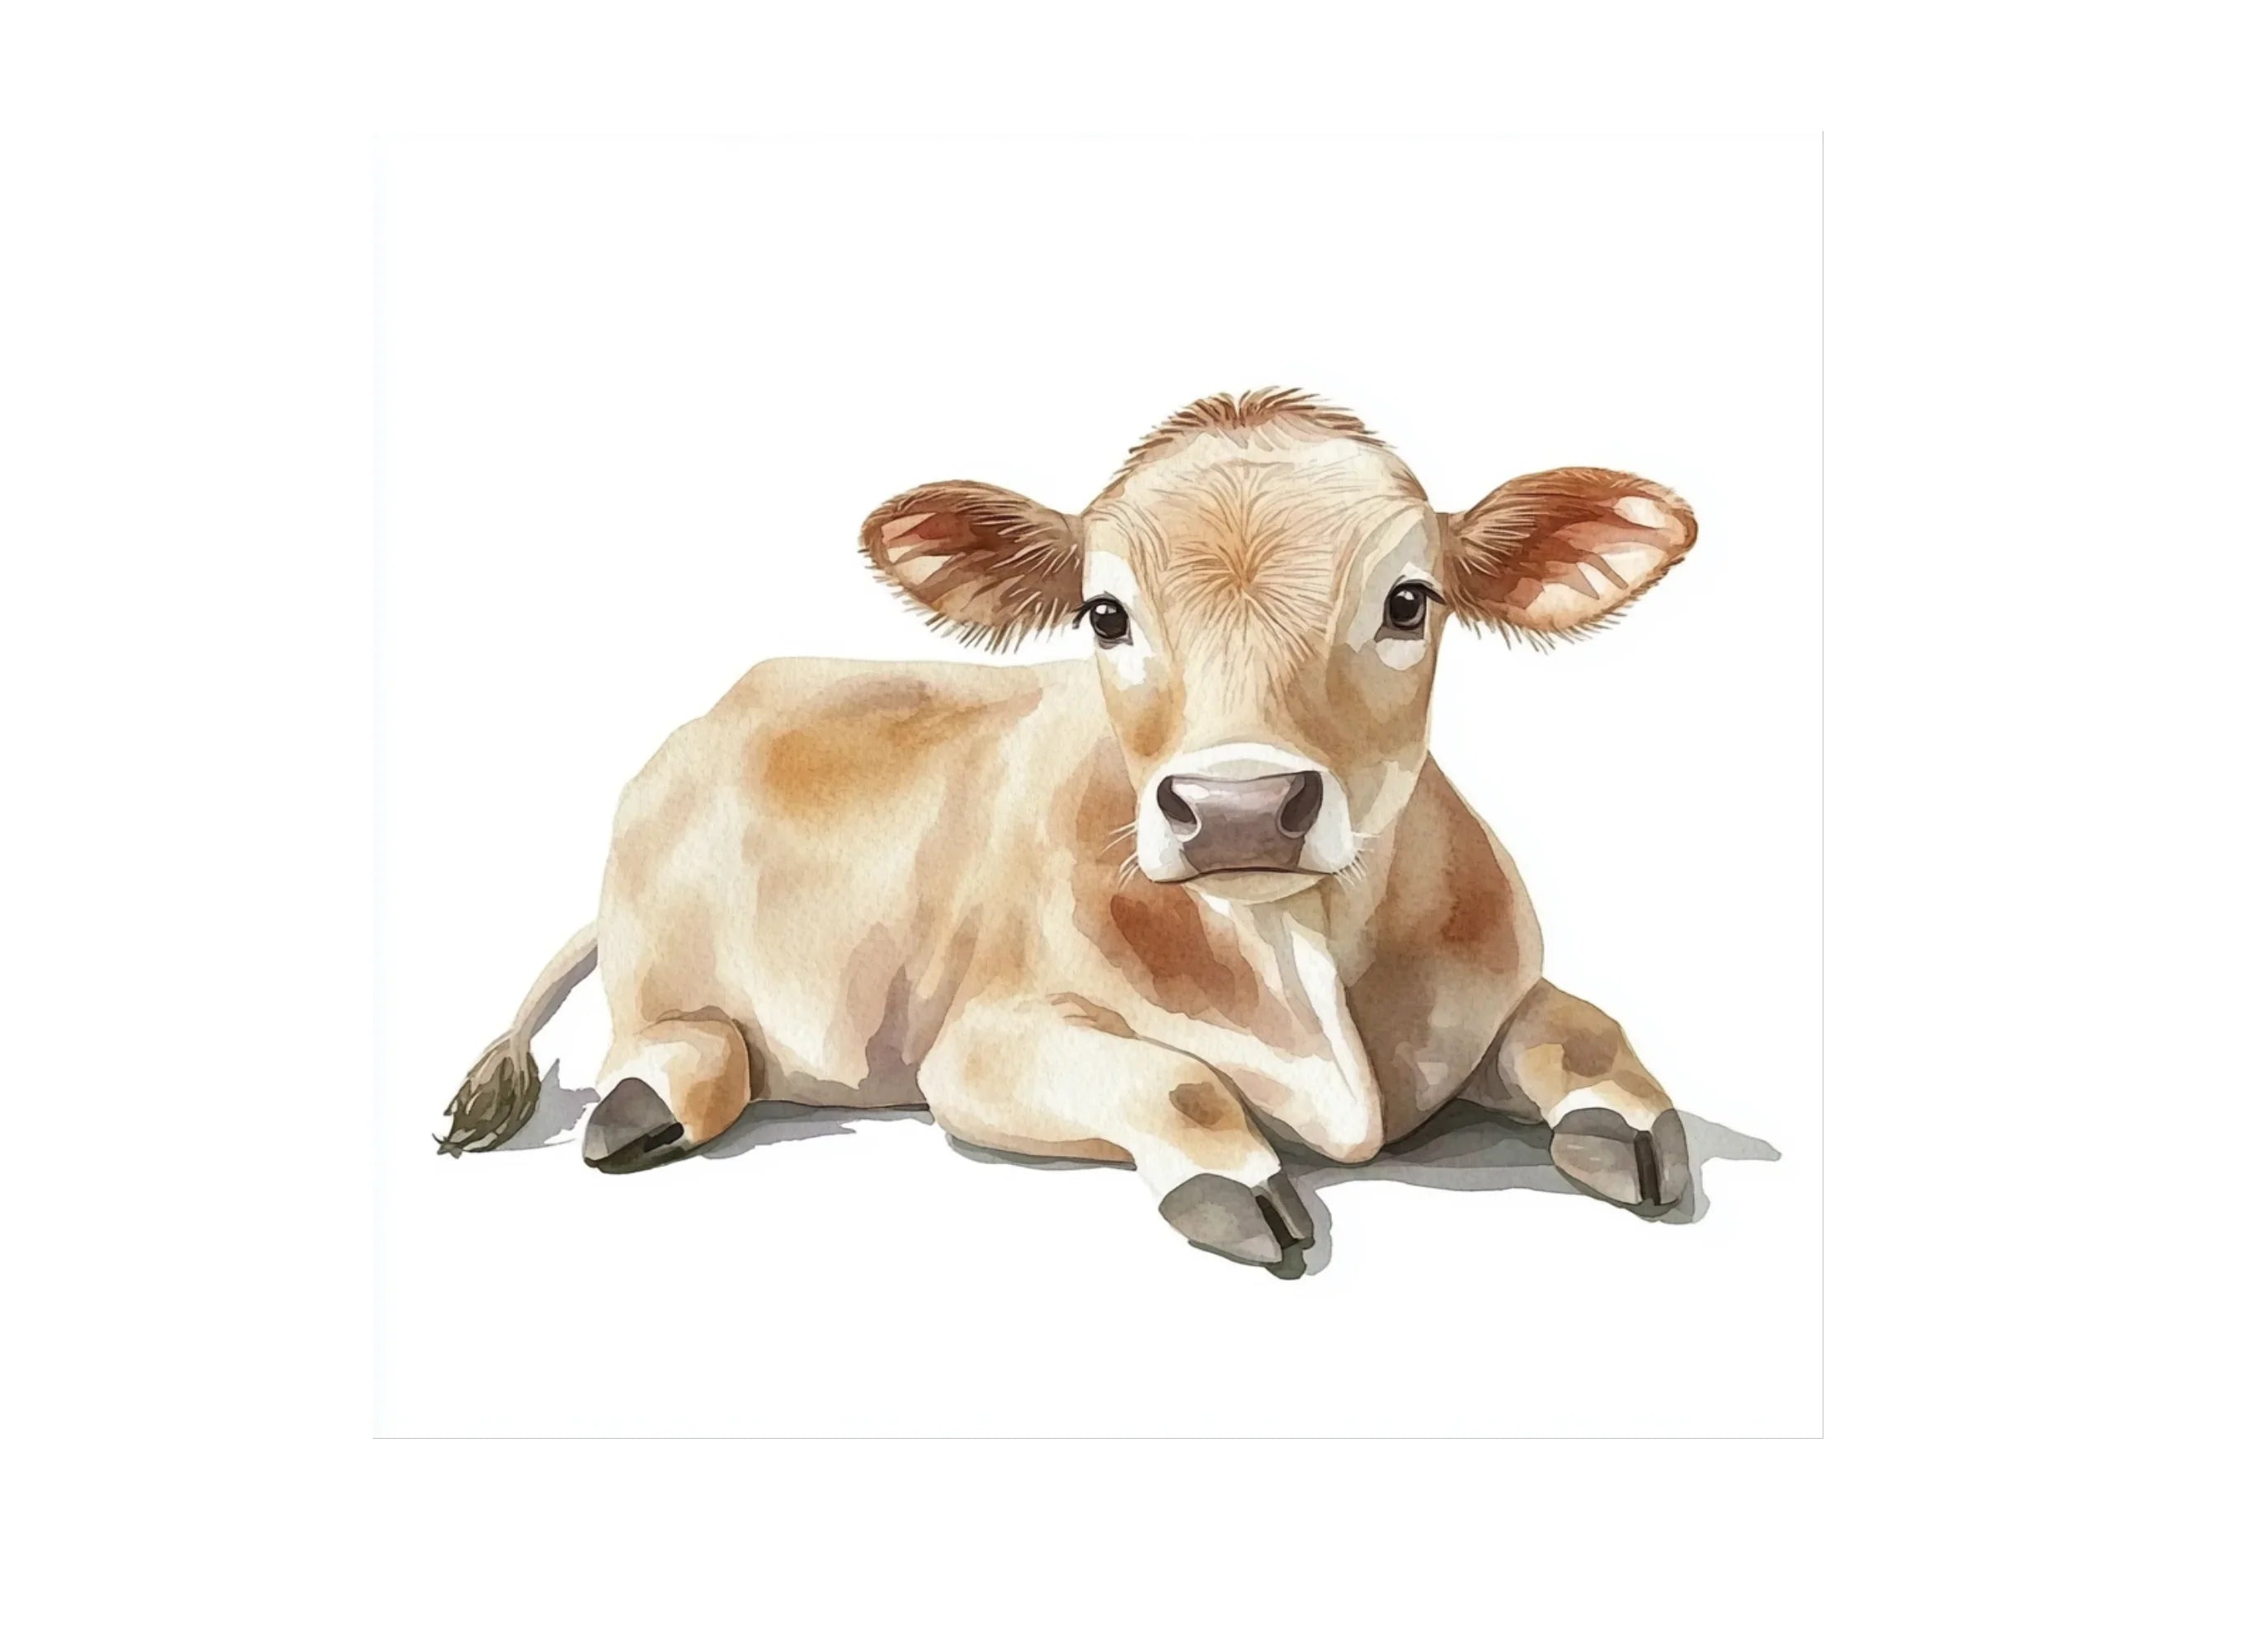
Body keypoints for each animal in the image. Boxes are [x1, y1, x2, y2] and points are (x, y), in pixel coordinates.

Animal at [439, 389, 1700, 1271]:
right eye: (1104, 613)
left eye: (1407, 601)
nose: (1238, 805)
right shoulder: (978, 1048)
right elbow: (1180, 1083)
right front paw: (1233, 1182)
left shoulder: (1501, 992)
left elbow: (1586, 1030)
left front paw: (1634, 1129)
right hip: (667, 953)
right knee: (678, 1037)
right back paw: (648, 1098)